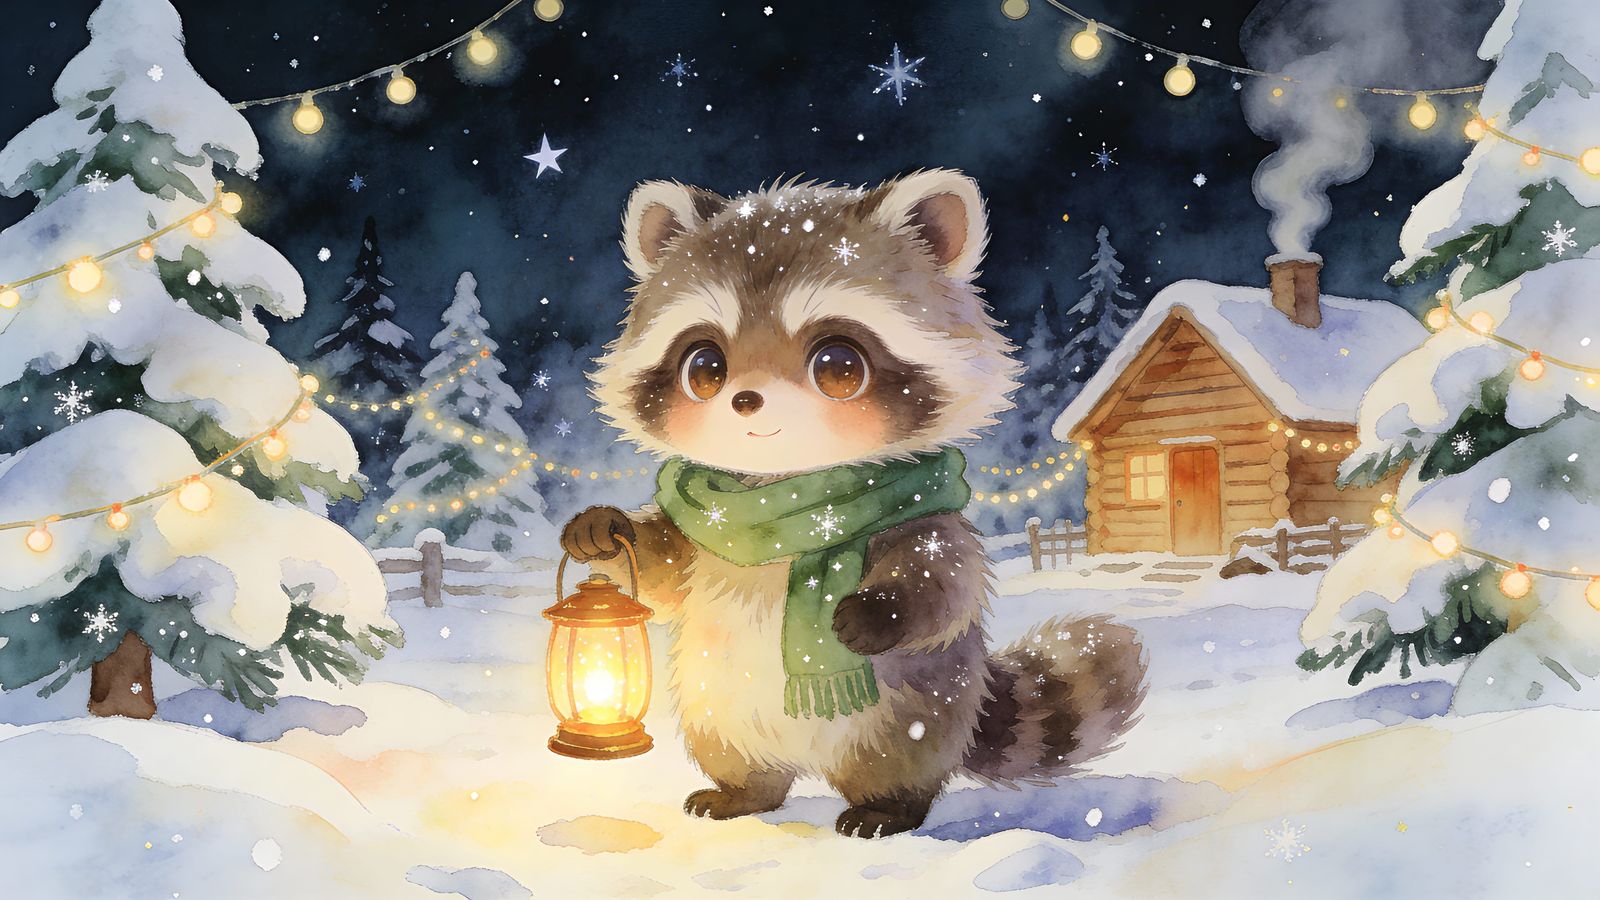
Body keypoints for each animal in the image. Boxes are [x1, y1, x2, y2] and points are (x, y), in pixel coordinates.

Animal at [563, 169, 1146, 839]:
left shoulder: (927, 517)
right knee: (735, 751)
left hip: (914, 709)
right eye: (704, 366)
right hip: (714, 700)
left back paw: (889, 805)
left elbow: (947, 580)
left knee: (899, 752)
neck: (783, 490)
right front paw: (608, 532)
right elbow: (663, 569)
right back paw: (744, 790)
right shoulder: (707, 538)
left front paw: (882, 609)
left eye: (838, 365)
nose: (745, 402)